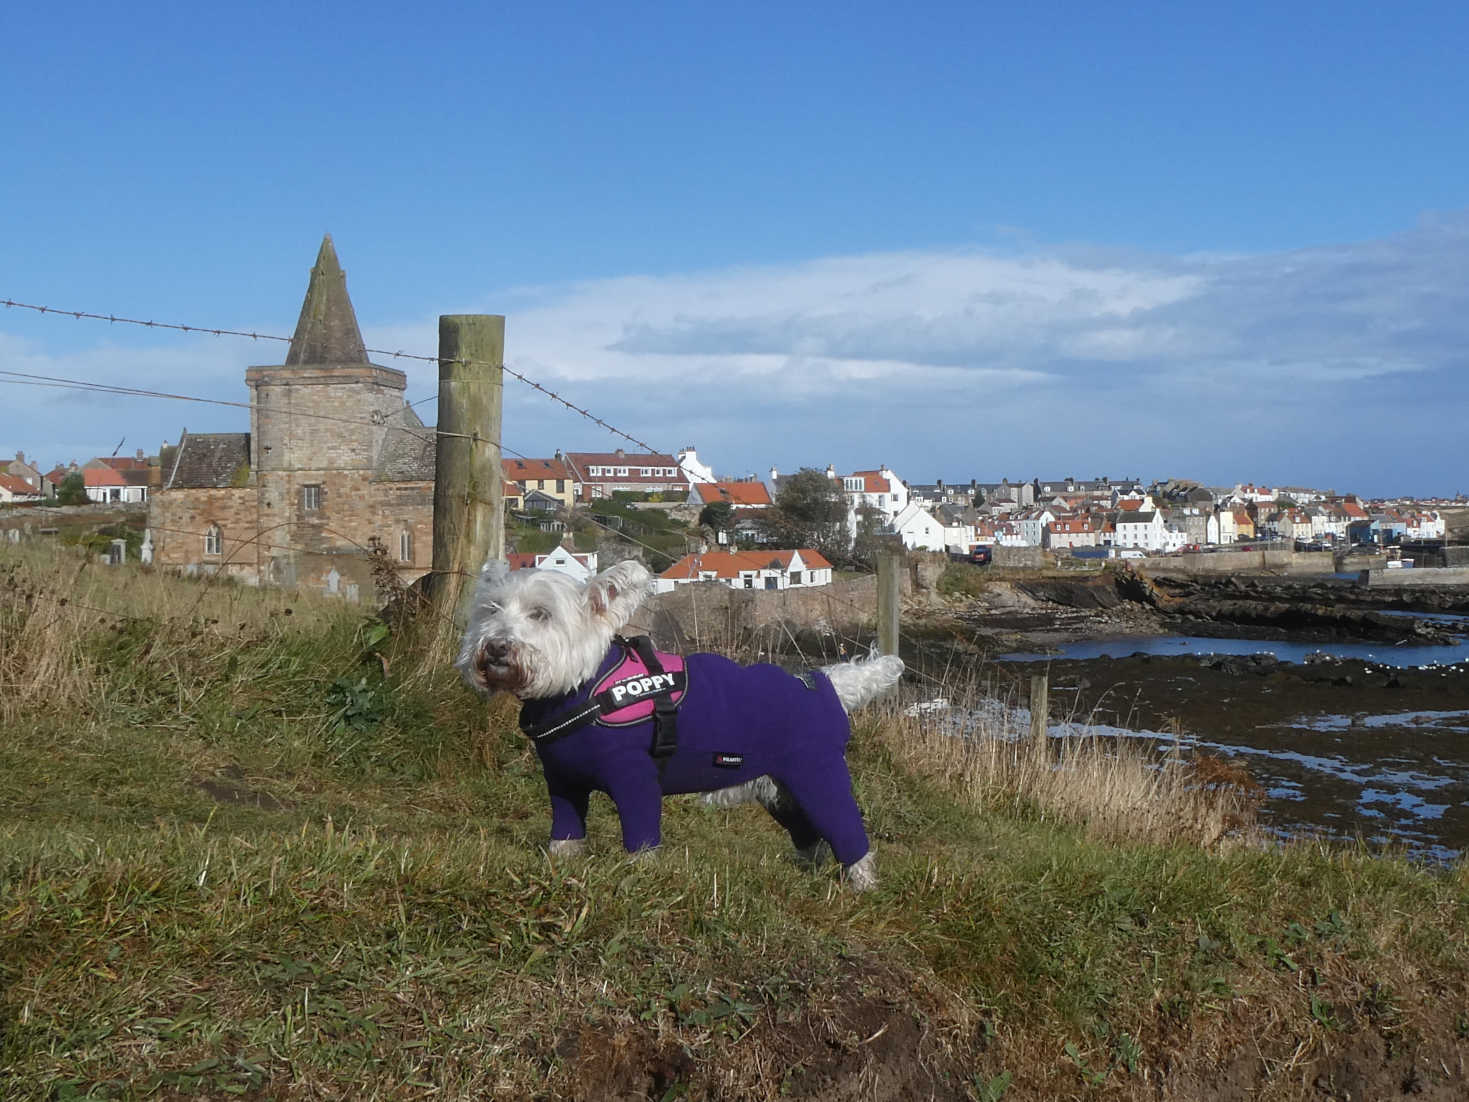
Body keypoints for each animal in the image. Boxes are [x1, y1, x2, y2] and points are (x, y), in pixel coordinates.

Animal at [452, 564, 904, 893]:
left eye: (541, 614)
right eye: (491, 609)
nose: (496, 647)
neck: (580, 688)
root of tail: (826, 685)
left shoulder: (633, 777)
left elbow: (641, 834)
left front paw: (640, 876)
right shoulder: (563, 782)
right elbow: (565, 831)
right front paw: (560, 865)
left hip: (818, 778)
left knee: (850, 837)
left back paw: (862, 886)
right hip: (781, 792)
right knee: (810, 836)